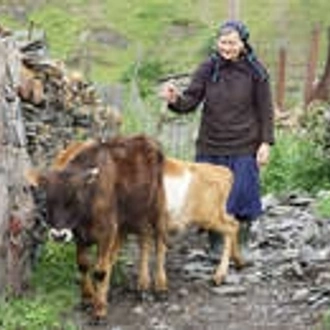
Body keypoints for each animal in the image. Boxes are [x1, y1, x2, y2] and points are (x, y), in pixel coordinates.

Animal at [26, 134, 168, 322]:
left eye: (75, 199)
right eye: (47, 200)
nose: (58, 235)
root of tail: (145, 138)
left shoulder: (106, 231)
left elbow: (100, 271)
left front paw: (99, 308)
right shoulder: (80, 233)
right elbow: (83, 265)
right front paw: (88, 297)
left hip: (157, 204)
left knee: (159, 241)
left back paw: (160, 285)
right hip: (132, 214)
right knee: (143, 237)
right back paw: (142, 283)